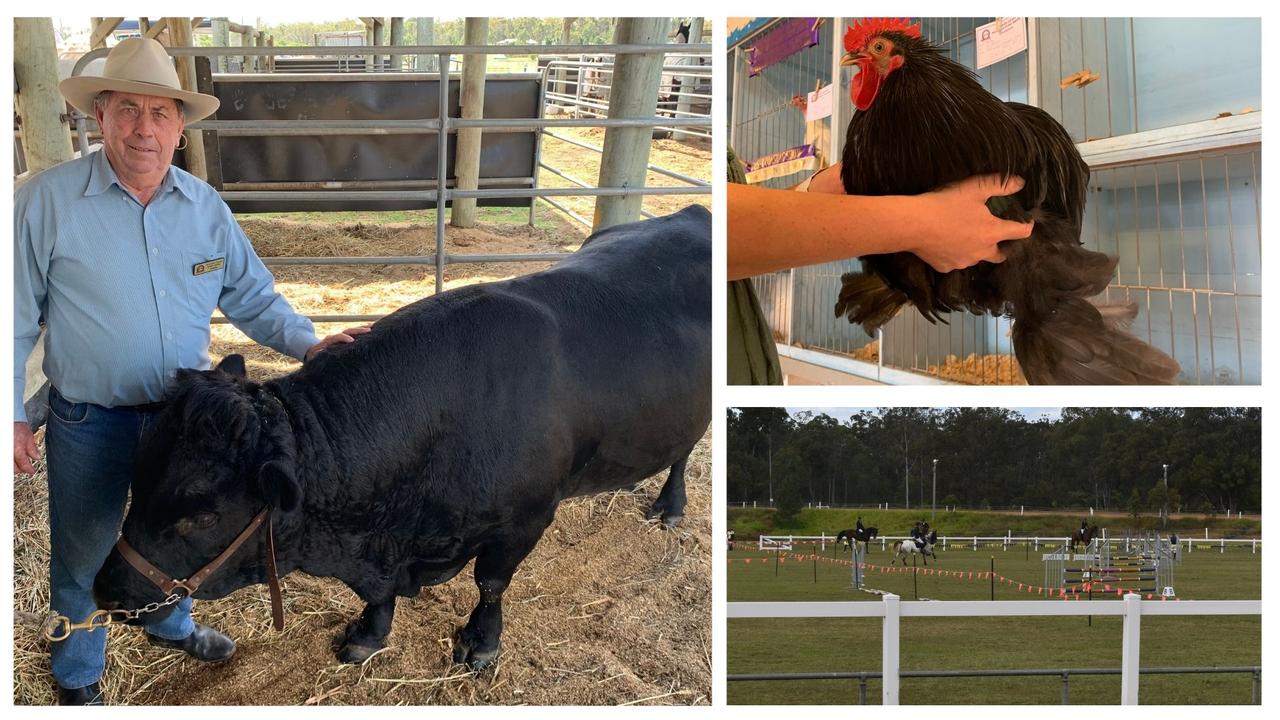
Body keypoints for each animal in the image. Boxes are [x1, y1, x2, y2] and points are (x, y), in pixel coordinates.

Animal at [90, 203, 711, 666]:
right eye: (137, 480)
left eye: (202, 515)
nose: (107, 590)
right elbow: (378, 600)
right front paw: (368, 633)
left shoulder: (525, 520)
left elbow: (491, 583)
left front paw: (481, 643)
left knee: (685, 454)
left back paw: (671, 505)